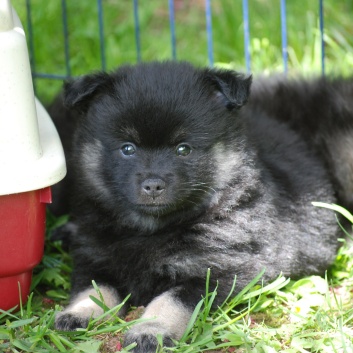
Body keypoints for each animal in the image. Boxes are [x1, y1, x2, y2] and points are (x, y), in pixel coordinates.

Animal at [50, 62, 352, 350]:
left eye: (183, 149)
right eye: (127, 148)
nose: (153, 185)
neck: (151, 230)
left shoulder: (218, 271)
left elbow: (170, 300)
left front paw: (152, 330)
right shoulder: (95, 257)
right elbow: (93, 289)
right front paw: (79, 313)